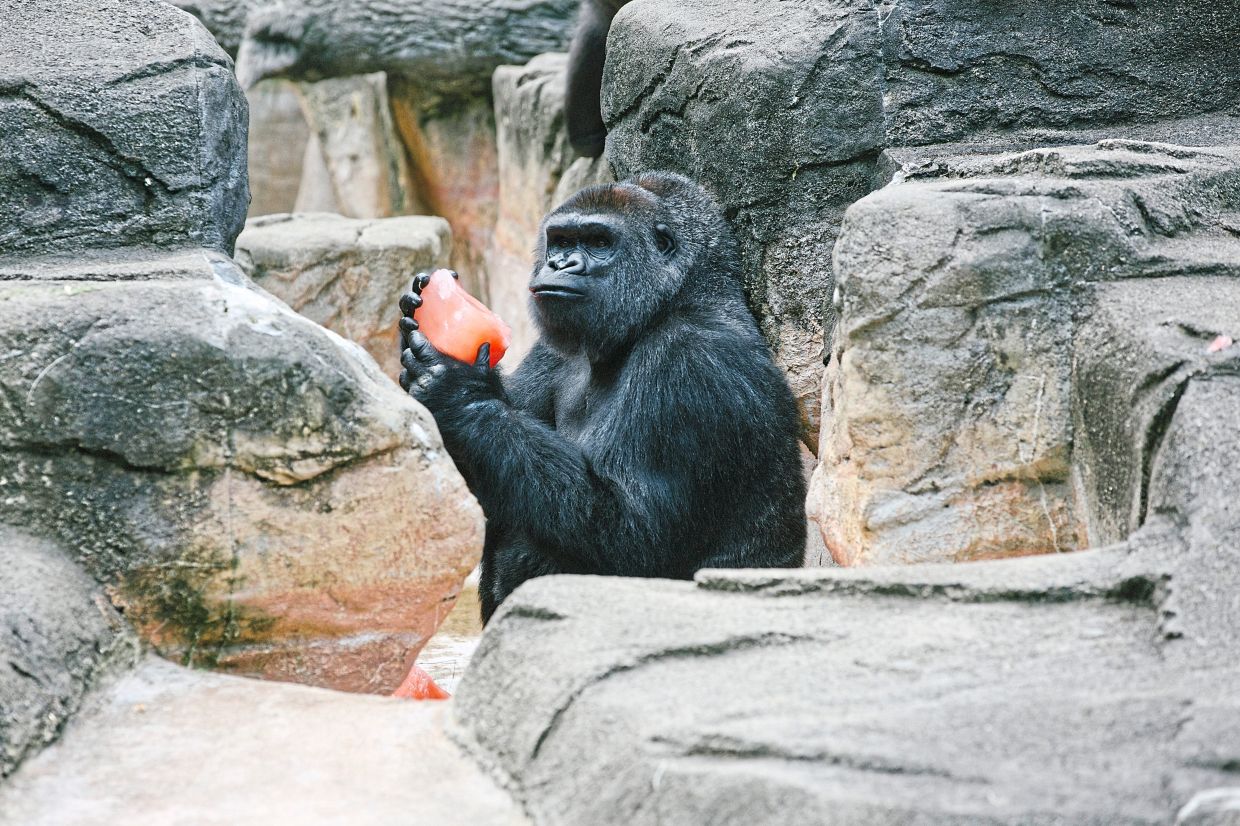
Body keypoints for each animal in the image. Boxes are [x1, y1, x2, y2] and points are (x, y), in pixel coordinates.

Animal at [398, 171, 806, 624]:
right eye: (560, 241)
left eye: (598, 242)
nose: (559, 264)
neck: (676, 300)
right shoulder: (553, 348)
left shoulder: (693, 362)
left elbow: (636, 535)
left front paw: (460, 394)